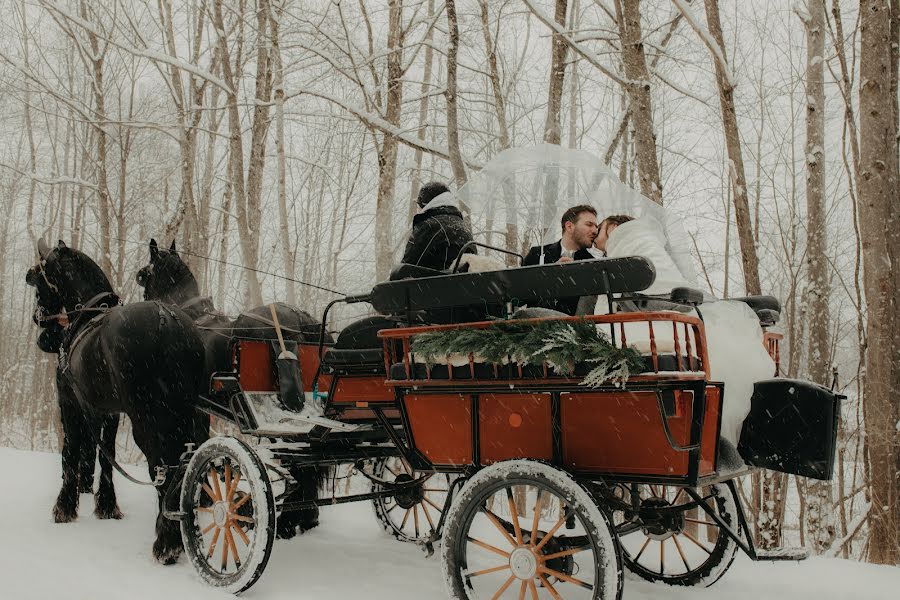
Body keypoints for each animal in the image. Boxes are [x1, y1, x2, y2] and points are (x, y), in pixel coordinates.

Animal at [25, 239, 209, 564]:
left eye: (41, 278)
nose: (40, 322)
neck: (86, 315)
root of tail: (169, 321)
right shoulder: (109, 412)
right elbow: (105, 454)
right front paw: (107, 506)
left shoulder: (69, 403)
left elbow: (70, 451)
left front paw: (64, 507)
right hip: (184, 414)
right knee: (186, 464)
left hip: (149, 420)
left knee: (164, 468)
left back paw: (167, 542)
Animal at [135, 237, 326, 536]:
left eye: (143, 275)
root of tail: (301, 319)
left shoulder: (191, 408)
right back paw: (305, 517)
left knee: (301, 466)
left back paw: (290, 520)